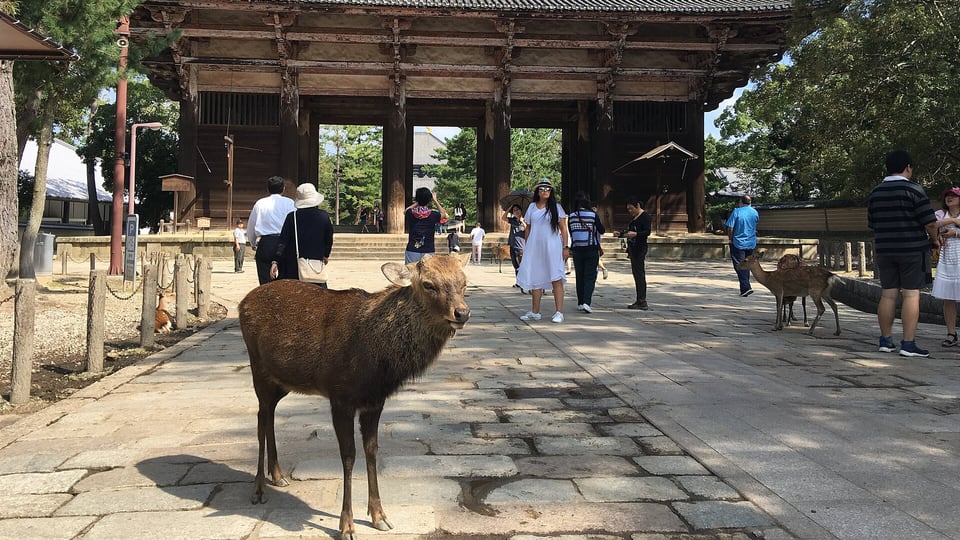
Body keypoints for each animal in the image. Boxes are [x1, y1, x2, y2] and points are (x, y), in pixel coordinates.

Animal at [238, 254, 470, 540]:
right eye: (428, 284)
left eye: (464, 281)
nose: (462, 313)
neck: (377, 364)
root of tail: (242, 302)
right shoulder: (340, 396)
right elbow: (348, 455)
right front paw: (346, 526)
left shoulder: (374, 401)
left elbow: (372, 450)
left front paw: (379, 516)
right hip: (257, 367)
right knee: (260, 418)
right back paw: (259, 488)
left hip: (282, 380)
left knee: (269, 413)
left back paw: (278, 475)